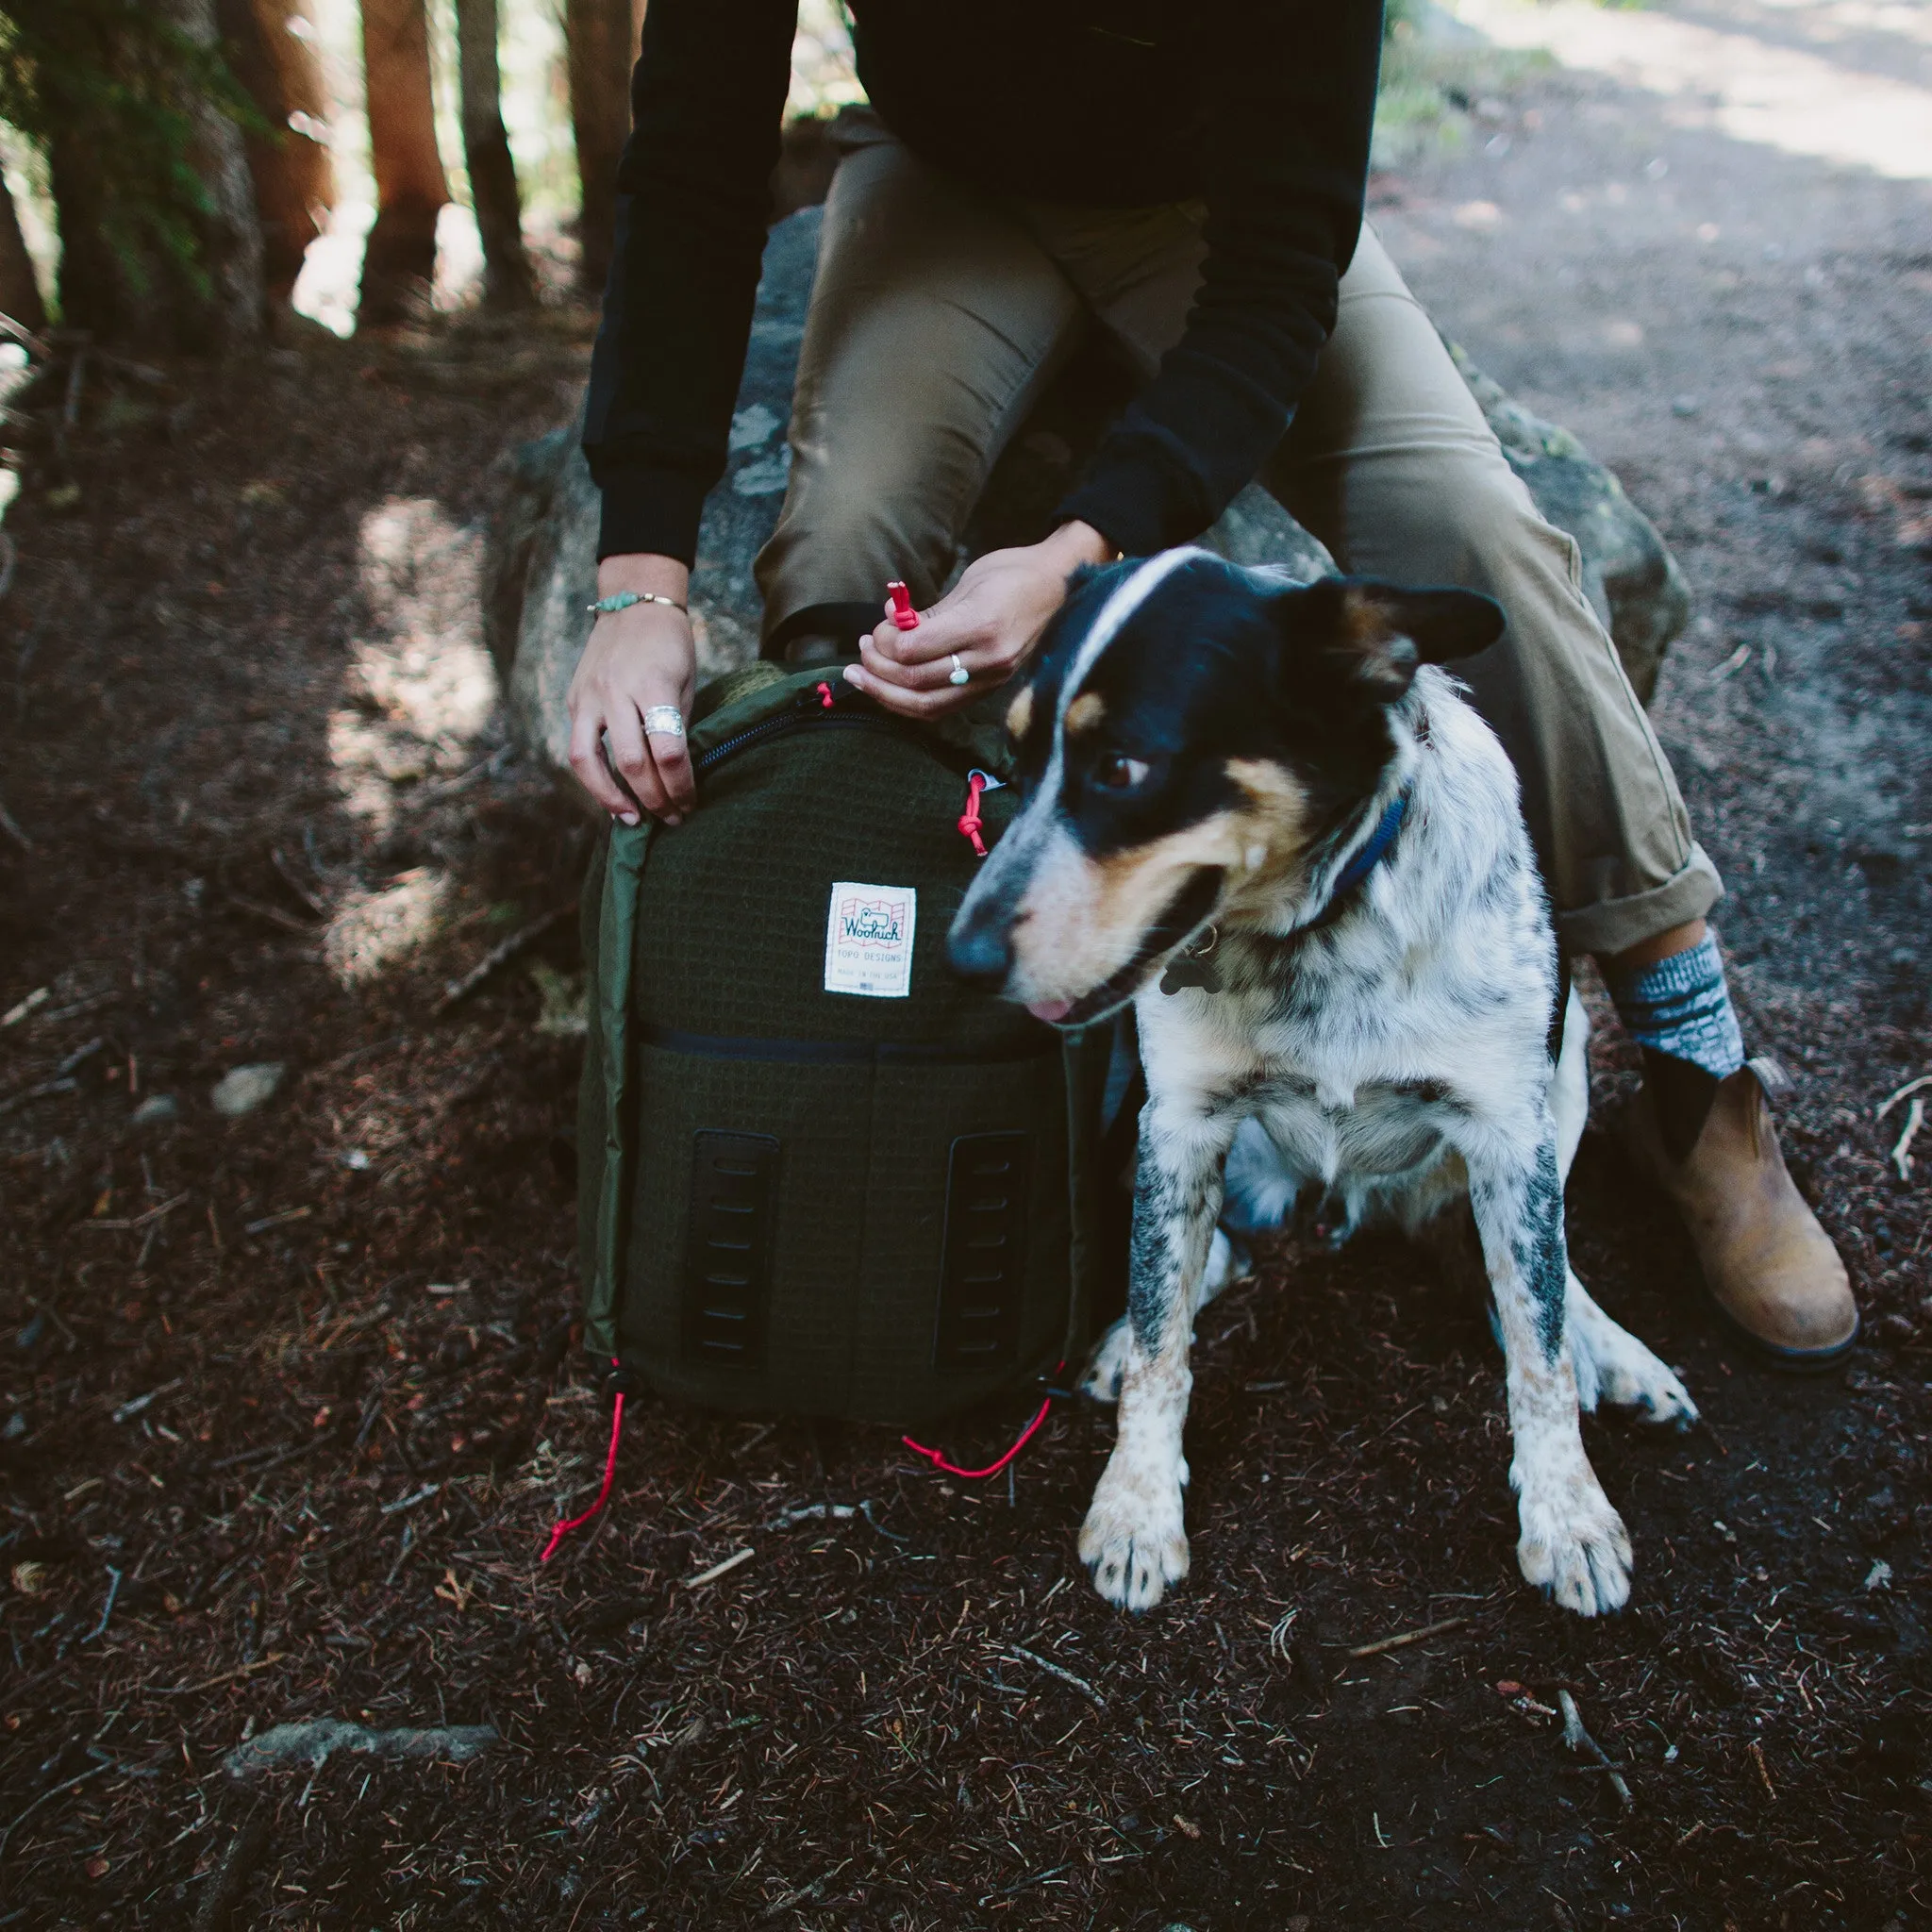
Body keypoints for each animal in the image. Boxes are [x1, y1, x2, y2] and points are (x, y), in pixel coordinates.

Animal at [946, 552, 1692, 1623]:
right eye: (1012, 757)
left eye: (1122, 766)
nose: (958, 957)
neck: (1320, 926)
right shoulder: (1178, 1122)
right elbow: (1162, 1335)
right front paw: (1136, 1505)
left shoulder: (1511, 1132)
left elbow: (1539, 1341)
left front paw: (1570, 1515)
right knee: (1208, 1255)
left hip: (1571, 1056)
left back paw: (1616, 1352)